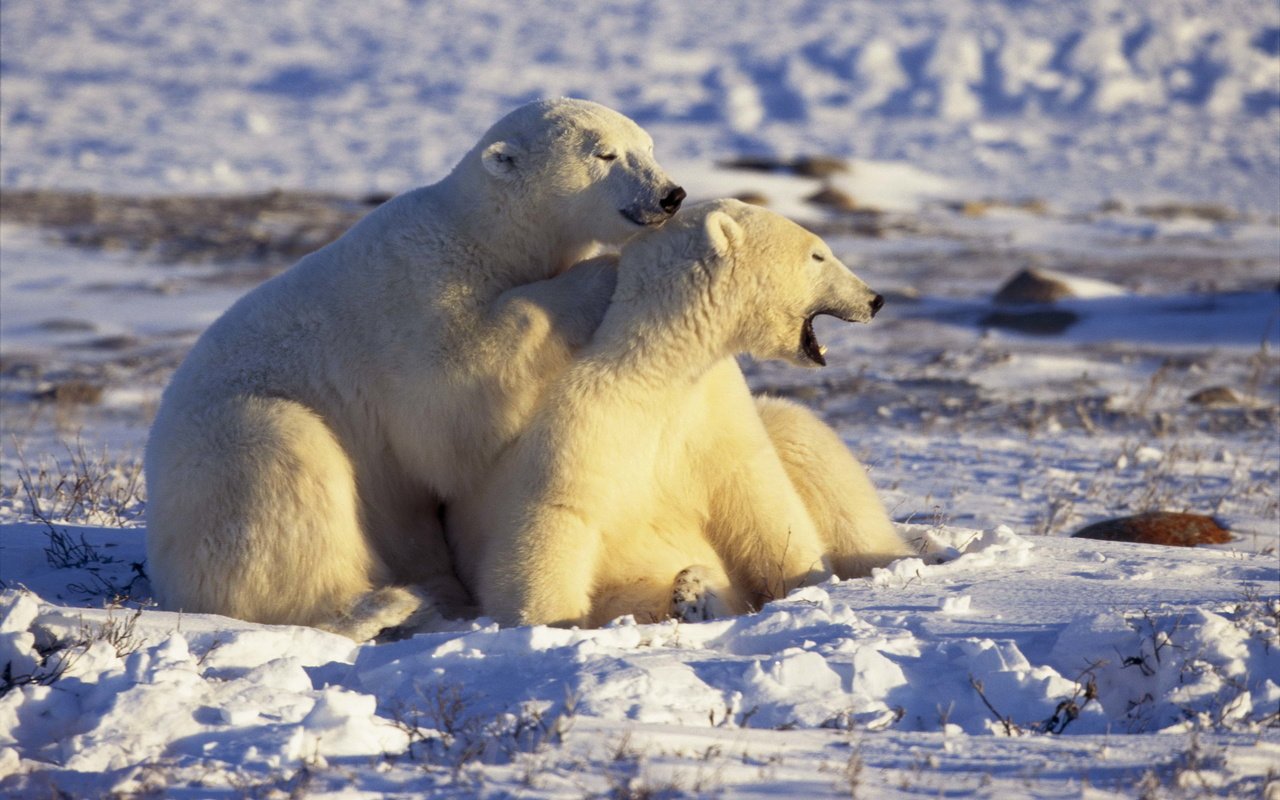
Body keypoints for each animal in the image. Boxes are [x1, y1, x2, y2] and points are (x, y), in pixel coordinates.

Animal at [145, 98, 686, 637]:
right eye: (605, 153)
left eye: (648, 146)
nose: (671, 195)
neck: (483, 236)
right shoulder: (421, 295)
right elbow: (448, 405)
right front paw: (602, 274)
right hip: (227, 445)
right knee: (281, 468)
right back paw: (382, 604)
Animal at [450, 198, 911, 624]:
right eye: (818, 255)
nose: (875, 299)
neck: (656, 372)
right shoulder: (582, 425)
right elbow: (553, 519)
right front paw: (553, 621)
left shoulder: (715, 414)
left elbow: (761, 501)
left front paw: (806, 583)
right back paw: (692, 595)